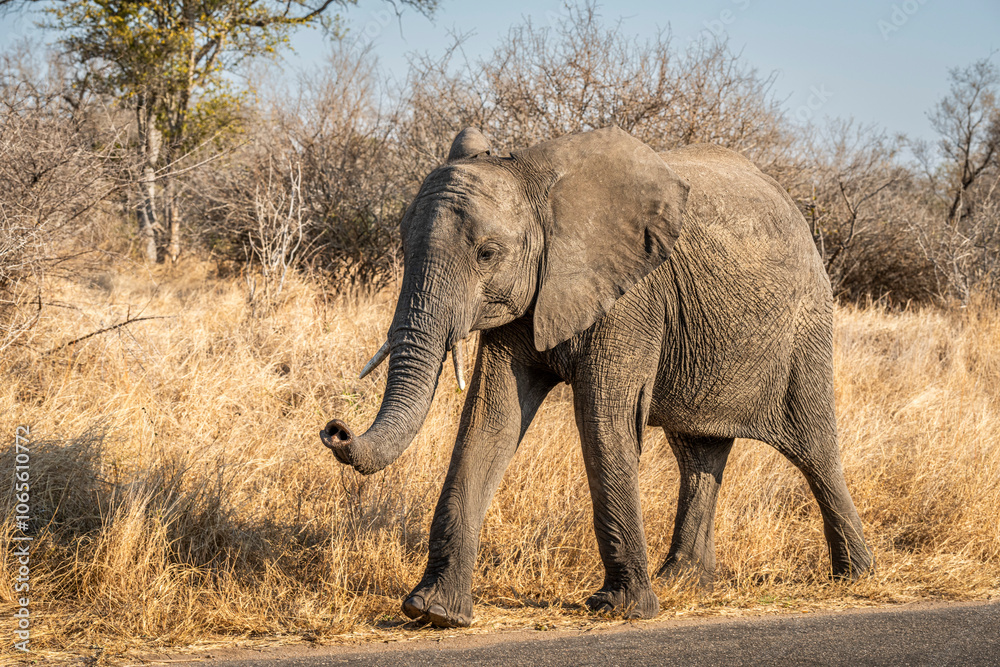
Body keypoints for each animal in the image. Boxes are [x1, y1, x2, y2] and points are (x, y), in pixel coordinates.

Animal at [320, 126, 873, 628]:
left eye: (487, 254)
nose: (335, 429)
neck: (534, 179)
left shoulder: (633, 299)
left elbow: (604, 422)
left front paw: (621, 609)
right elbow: (489, 420)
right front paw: (433, 612)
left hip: (805, 325)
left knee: (814, 448)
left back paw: (855, 576)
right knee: (698, 452)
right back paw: (683, 582)